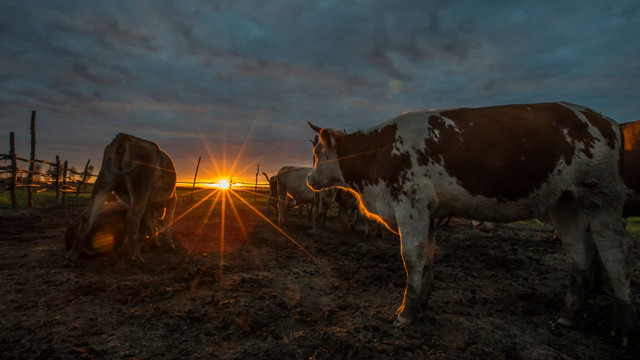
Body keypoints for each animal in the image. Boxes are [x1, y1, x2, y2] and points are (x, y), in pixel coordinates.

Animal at [65, 133, 178, 264]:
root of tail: (125, 138)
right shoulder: (172, 199)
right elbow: (168, 220)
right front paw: (170, 244)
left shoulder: (148, 207)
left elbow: (150, 223)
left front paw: (155, 242)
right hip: (140, 188)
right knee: (133, 218)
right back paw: (136, 257)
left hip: (104, 183)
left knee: (87, 216)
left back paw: (72, 255)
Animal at [308, 101, 636, 340]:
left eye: (316, 152)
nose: (310, 179)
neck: (378, 152)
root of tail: (602, 119)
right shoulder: (429, 212)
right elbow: (427, 258)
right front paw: (422, 303)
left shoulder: (411, 204)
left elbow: (411, 257)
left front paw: (406, 313)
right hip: (564, 202)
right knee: (579, 254)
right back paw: (568, 316)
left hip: (602, 196)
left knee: (614, 255)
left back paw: (623, 327)